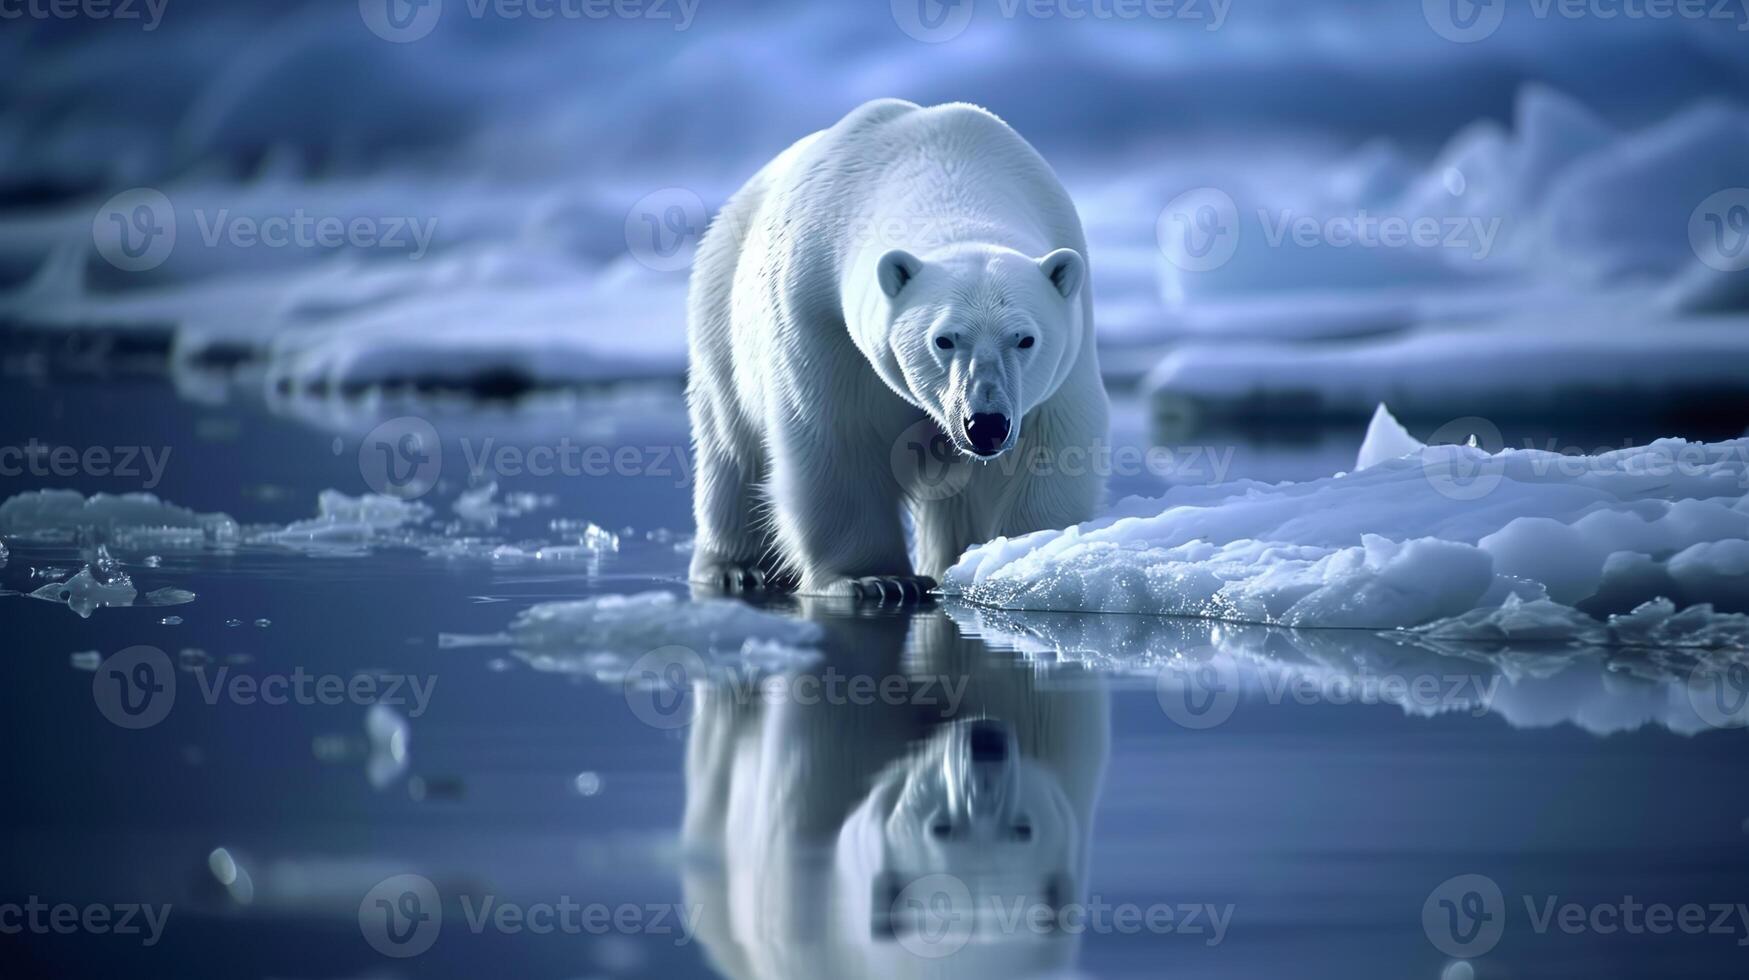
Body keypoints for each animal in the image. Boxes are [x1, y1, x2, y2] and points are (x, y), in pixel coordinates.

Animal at [685, 99, 1105, 598]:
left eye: (1025, 338)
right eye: (943, 338)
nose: (985, 424)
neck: (950, 168)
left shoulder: (1066, 347)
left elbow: (1050, 442)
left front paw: (1029, 555)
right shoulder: (819, 317)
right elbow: (838, 437)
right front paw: (876, 578)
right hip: (719, 312)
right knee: (731, 447)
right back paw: (736, 567)